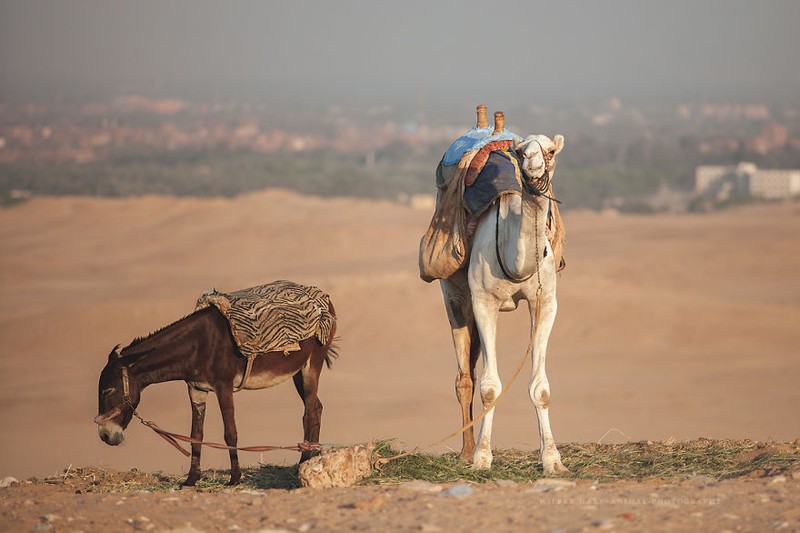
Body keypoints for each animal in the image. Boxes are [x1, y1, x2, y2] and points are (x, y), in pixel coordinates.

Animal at [438, 118, 568, 472]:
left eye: (551, 150)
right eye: (522, 151)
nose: (533, 163)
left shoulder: (545, 302)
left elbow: (541, 388)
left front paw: (553, 460)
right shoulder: (484, 302)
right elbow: (489, 388)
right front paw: (483, 458)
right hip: (454, 295)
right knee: (464, 377)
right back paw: (466, 451)